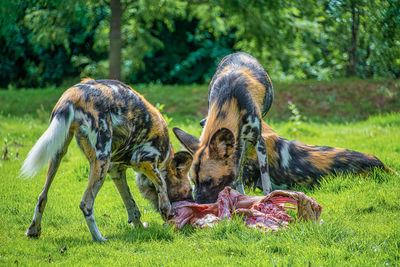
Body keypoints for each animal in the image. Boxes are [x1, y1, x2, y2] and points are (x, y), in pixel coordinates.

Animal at [21, 78, 193, 243]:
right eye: (189, 191)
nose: (192, 202)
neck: (165, 159)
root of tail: (74, 93)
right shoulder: (143, 161)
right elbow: (161, 186)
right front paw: (168, 214)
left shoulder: (116, 171)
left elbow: (132, 205)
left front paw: (140, 227)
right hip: (101, 160)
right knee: (86, 204)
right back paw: (99, 239)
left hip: (58, 152)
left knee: (42, 196)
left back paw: (33, 230)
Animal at [173, 51, 274, 203]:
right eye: (194, 181)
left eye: (208, 181)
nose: (198, 203)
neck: (228, 100)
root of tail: (239, 52)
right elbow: (236, 177)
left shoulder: (258, 142)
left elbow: (265, 181)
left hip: (247, 144)